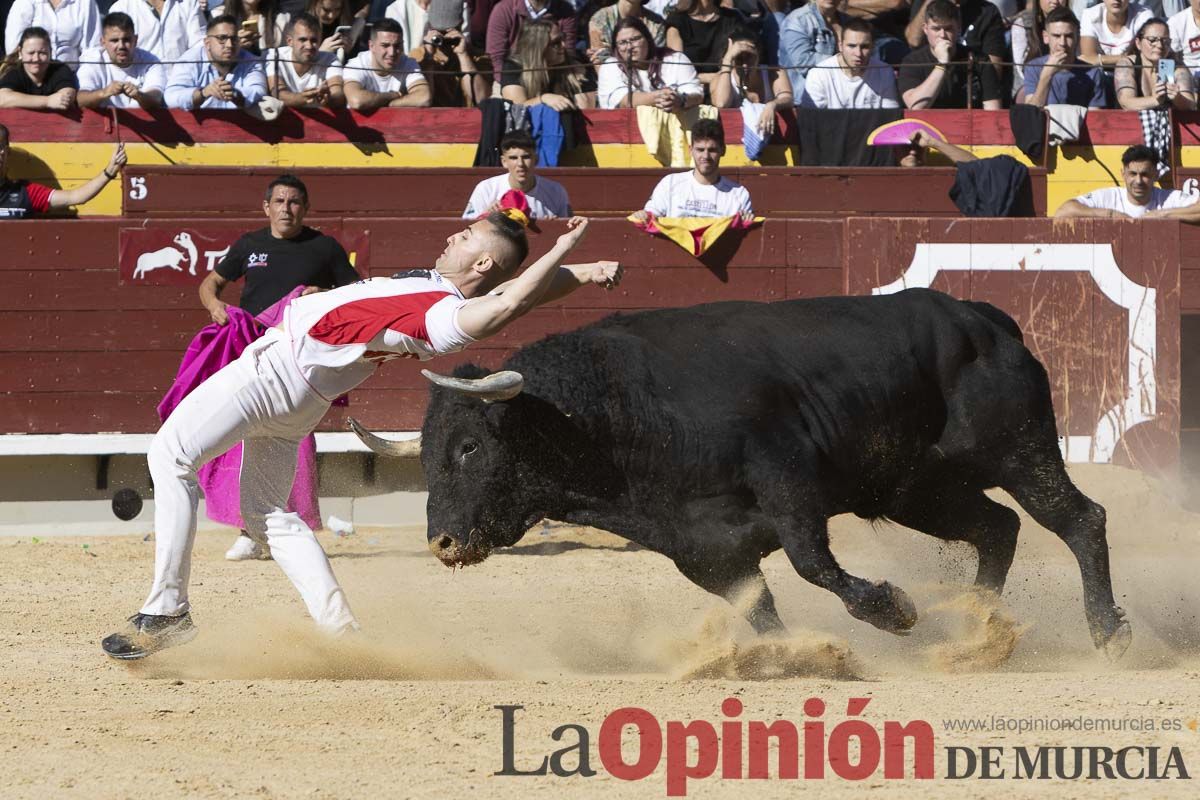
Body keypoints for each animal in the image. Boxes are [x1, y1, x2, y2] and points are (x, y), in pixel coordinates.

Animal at [350, 287, 1132, 657]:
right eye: (428, 451)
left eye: (469, 449)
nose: (443, 543)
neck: (611, 411)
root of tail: (981, 318)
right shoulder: (703, 550)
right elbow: (758, 608)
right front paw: (802, 656)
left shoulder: (789, 481)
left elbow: (815, 564)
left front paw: (895, 611)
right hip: (916, 487)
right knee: (996, 528)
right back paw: (973, 631)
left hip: (1020, 451)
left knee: (1079, 519)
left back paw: (1105, 633)